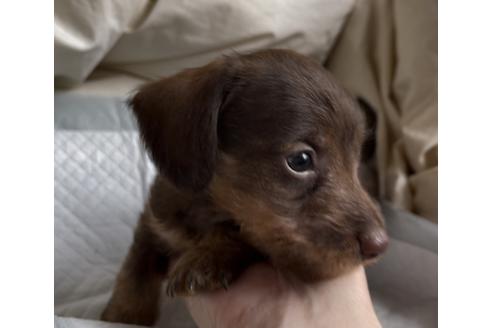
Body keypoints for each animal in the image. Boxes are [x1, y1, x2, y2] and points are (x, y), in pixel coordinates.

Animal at [102, 48, 388, 326]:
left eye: (354, 161)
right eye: (300, 160)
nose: (379, 245)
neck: (210, 209)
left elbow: (243, 237)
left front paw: (209, 256)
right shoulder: (153, 221)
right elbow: (134, 270)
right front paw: (123, 315)